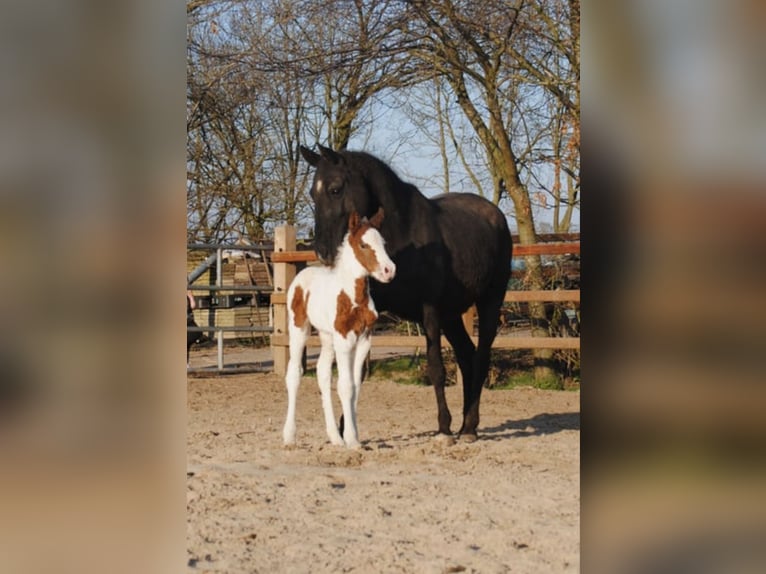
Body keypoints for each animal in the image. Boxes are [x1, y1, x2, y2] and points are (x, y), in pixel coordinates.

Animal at [283, 208, 395, 448]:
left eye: (382, 242)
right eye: (363, 244)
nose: (389, 271)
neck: (353, 297)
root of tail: (301, 276)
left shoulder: (364, 339)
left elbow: (355, 385)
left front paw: (352, 436)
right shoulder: (344, 339)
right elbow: (346, 386)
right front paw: (351, 439)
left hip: (327, 337)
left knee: (322, 373)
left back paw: (335, 437)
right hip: (299, 329)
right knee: (294, 374)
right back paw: (289, 436)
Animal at [299, 144, 512, 441]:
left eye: (335, 189)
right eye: (312, 192)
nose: (323, 252)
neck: (402, 234)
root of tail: (497, 217)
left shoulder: (430, 310)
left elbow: (435, 367)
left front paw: (443, 428)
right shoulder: (373, 311)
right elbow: (356, 371)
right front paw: (344, 429)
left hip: (489, 301)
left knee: (480, 358)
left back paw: (468, 427)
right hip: (452, 315)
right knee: (466, 356)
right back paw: (465, 425)